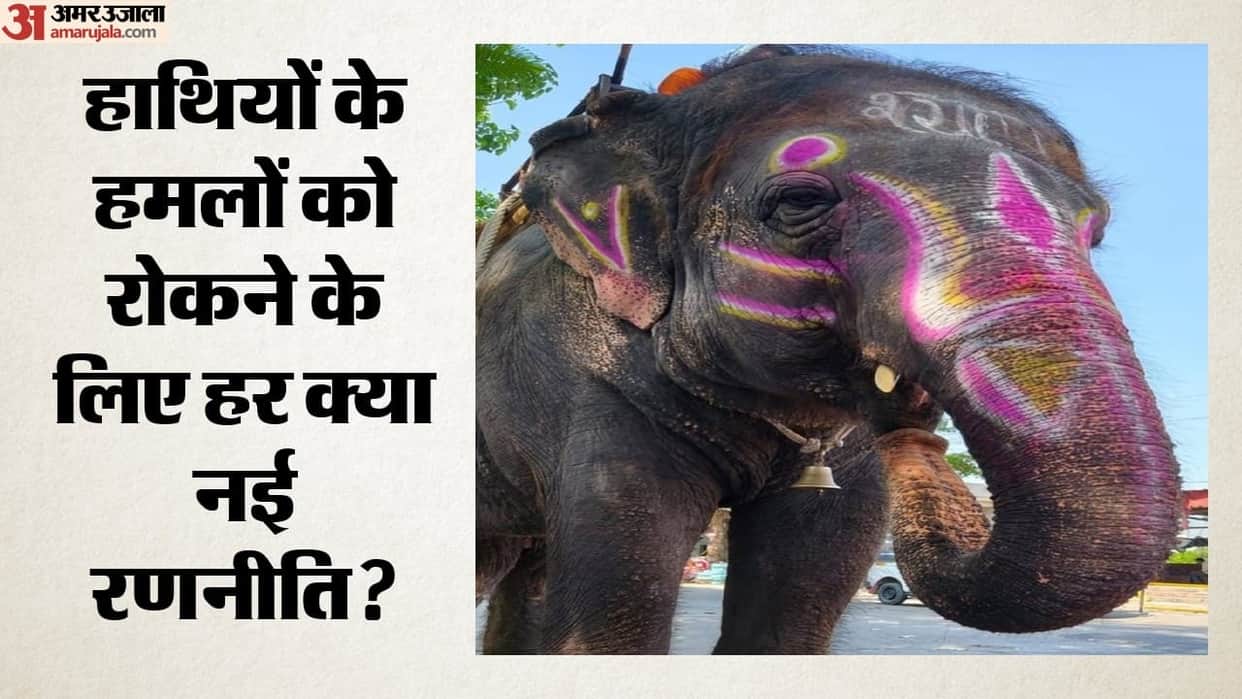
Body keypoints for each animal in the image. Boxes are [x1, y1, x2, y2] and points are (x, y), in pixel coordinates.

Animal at [475, 45, 1181, 654]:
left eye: (1095, 231)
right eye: (799, 201)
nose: (914, 419)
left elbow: (789, 621)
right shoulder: (583, 378)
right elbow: (612, 627)